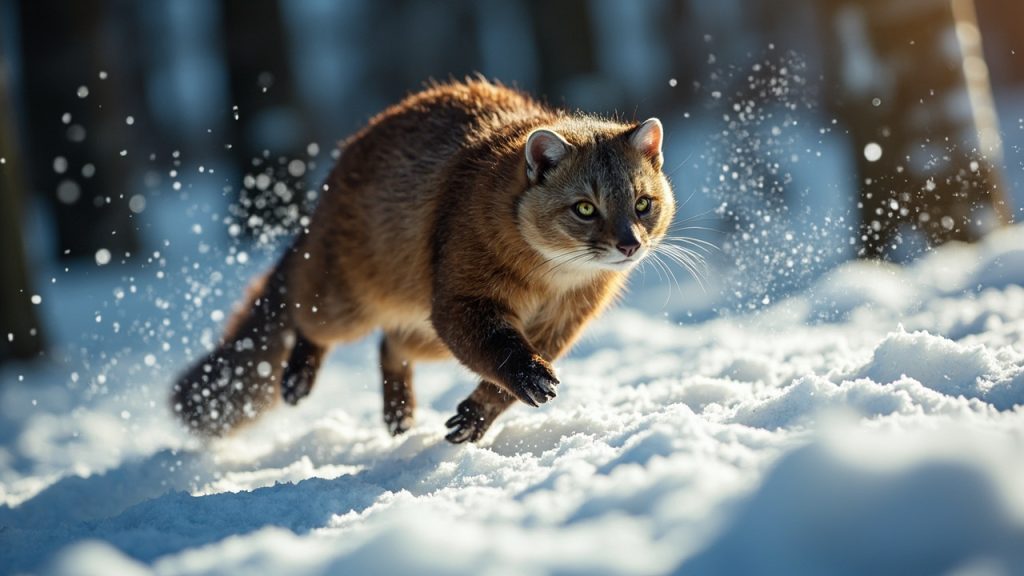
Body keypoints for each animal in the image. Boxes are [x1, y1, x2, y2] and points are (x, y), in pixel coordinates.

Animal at [171, 79, 675, 443]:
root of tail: (326, 192)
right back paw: (299, 375)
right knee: (304, 312)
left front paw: (477, 417)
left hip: (423, 331)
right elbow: (501, 353)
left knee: (388, 346)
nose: (629, 245)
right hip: (348, 308)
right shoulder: (462, 305)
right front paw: (528, 376)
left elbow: (499, 389)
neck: (552, 280)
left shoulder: (557, 327)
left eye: (642, 204)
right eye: (585, 208)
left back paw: (399, 412)